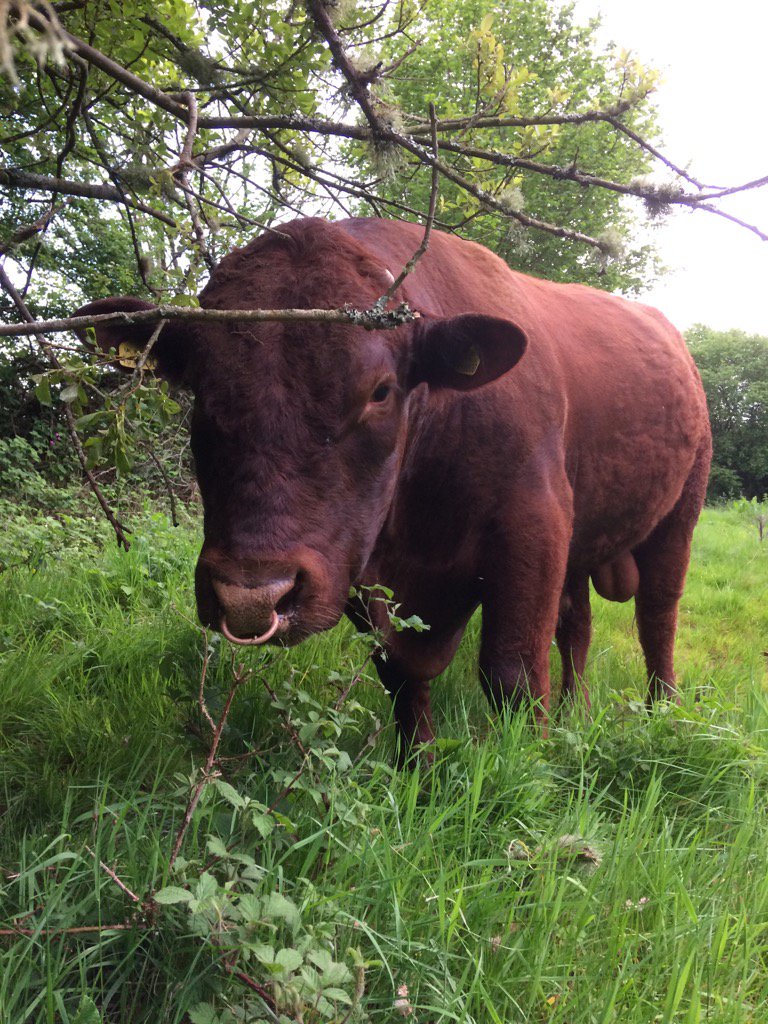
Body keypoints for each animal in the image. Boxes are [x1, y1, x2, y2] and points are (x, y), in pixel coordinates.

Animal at [75, 217, 711, 760]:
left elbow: (512, 673)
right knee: (576, 627)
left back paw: (662, 712)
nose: (251, 597)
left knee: (658, 615)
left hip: (680, 515)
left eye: (380, 390)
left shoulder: (533, 527)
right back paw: (576, 713)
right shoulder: (359, 562)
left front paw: (529, 763)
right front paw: (418, 769)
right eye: (199, 387)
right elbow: (400, 673)